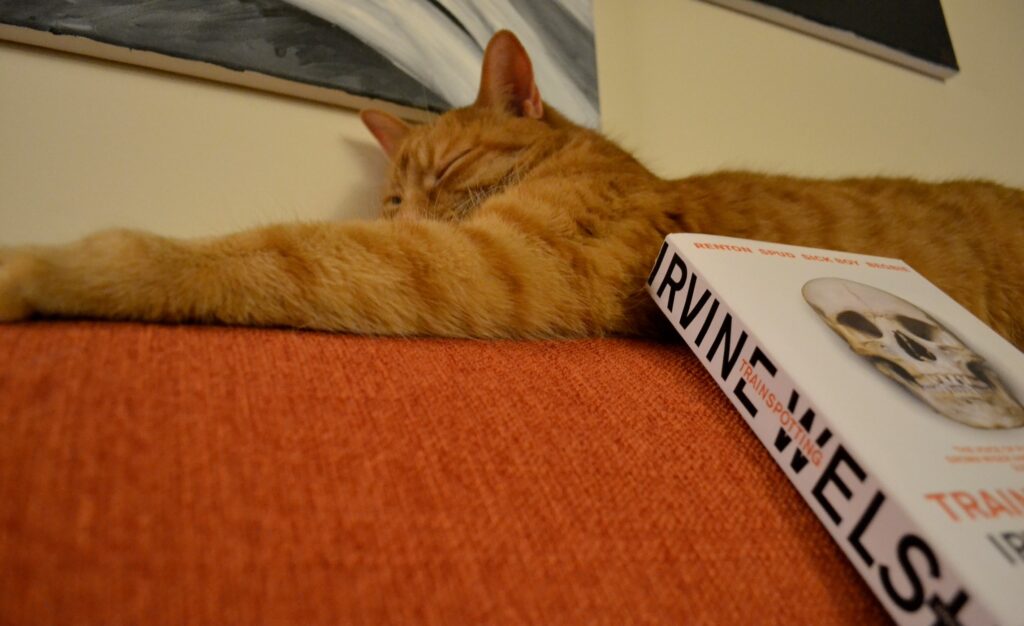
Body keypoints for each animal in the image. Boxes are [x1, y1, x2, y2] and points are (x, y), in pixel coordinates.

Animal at [0, 30, 1019, 348]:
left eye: (447, 174)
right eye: (391, 199)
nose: (410, 209)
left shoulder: (497, 261)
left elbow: (258, 256)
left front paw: (44, 267)